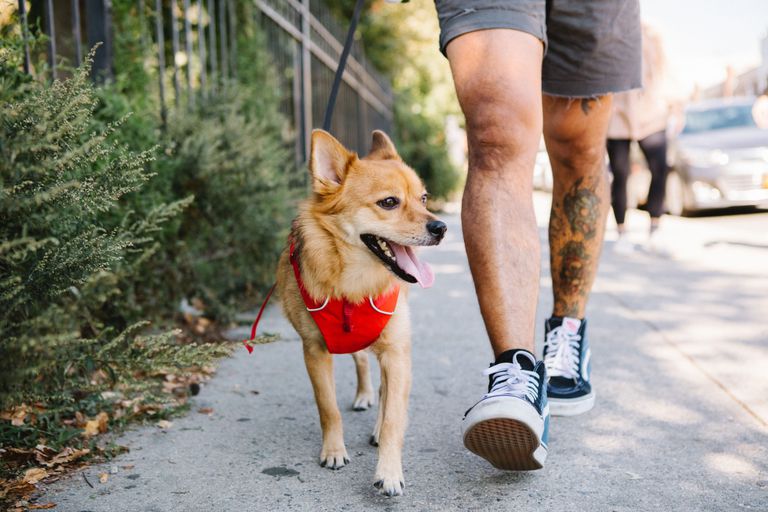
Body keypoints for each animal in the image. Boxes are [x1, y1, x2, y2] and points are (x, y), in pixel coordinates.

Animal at [274, 129, 444, 496]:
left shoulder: (396, 352)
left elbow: (394, 416)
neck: (353, 285)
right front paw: (334, 451)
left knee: (381, 385)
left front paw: (389, 471)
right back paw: (363, 395)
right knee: (362, 362)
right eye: (389, 202)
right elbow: (328, 408)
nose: (441, 228)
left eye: (424, 198)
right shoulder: (314, 352)